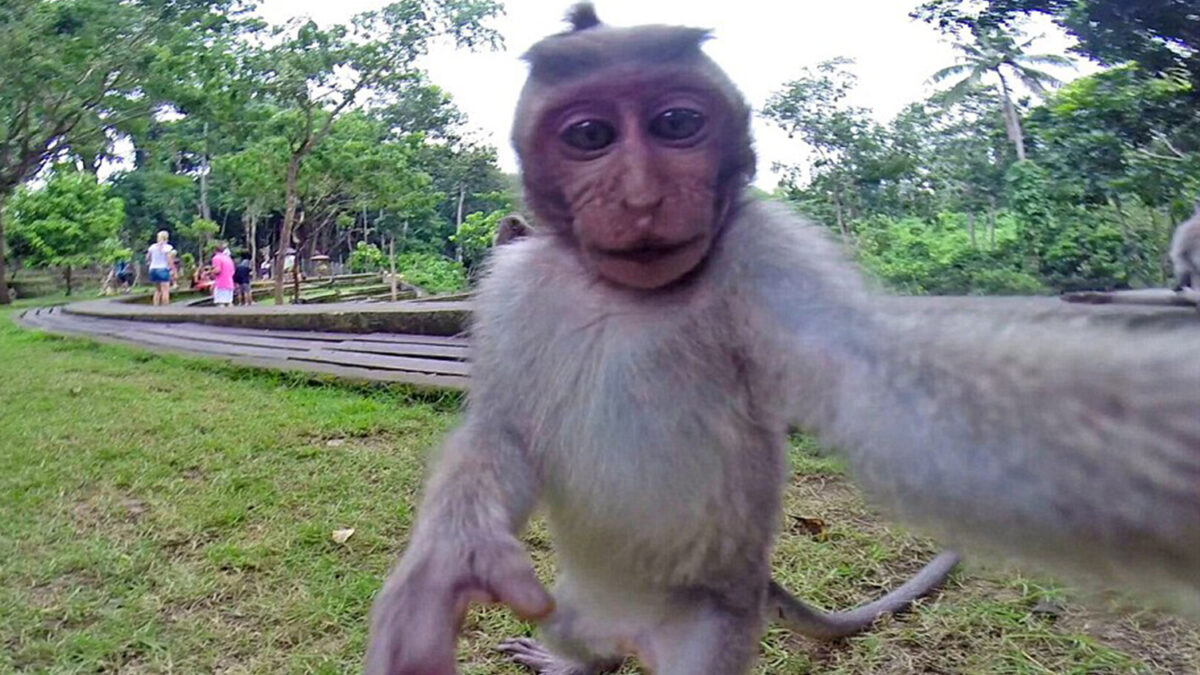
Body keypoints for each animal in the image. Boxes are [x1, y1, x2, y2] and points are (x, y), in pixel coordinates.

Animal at [364, 6, 1200, 672]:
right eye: (591, 135)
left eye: (676, 124)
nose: (640, 196)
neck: (626, 296)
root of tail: (628, 625)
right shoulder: (513, 286)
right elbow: (502, 429)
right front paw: (445, 569)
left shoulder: (767, 256)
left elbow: (886, 391)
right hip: (572, 601)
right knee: (578, 635)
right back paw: (570, 660)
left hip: (711, 625)